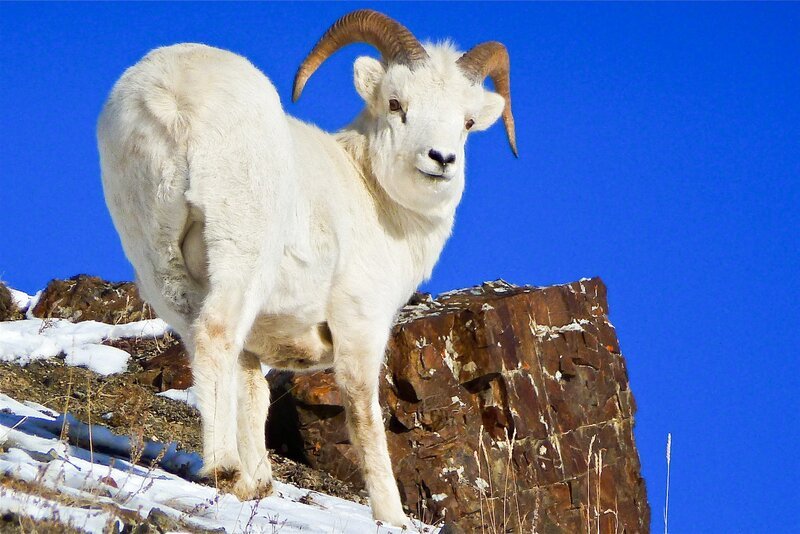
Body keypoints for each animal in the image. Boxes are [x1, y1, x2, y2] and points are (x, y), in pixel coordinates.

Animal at [97, 9, 516, 526]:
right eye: (396, 103)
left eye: (468, 121)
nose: (441, 160)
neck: (372, 196)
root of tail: (171, 96)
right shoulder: (359, 326)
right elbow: (364, 414)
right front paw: (392, 517)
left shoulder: (258, 341)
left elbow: (253, 394)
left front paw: (259, 485)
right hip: (240, 255)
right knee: (215, 334)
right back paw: (223, 469)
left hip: (159, 265)